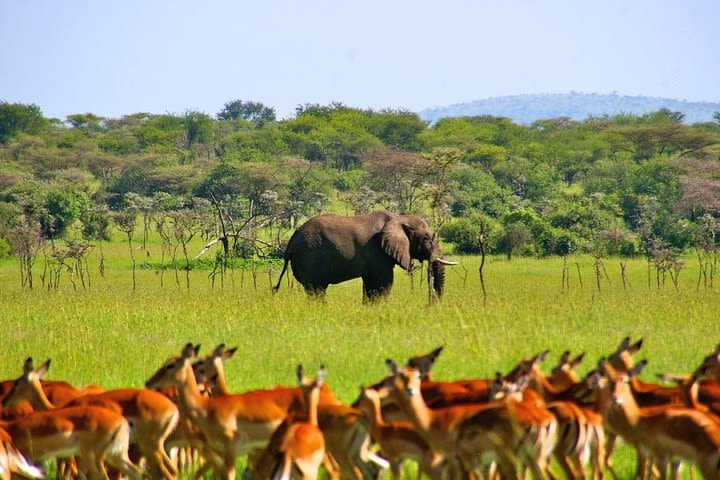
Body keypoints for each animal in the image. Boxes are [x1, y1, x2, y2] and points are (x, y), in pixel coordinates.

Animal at [276, 211, 456, 300]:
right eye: (426, 238)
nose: (432, 304)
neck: (399, 218)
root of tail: (291, 241)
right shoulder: (378, 252)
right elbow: (383, 284)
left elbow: (370, 285)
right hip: (310, 257)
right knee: (316, 290)